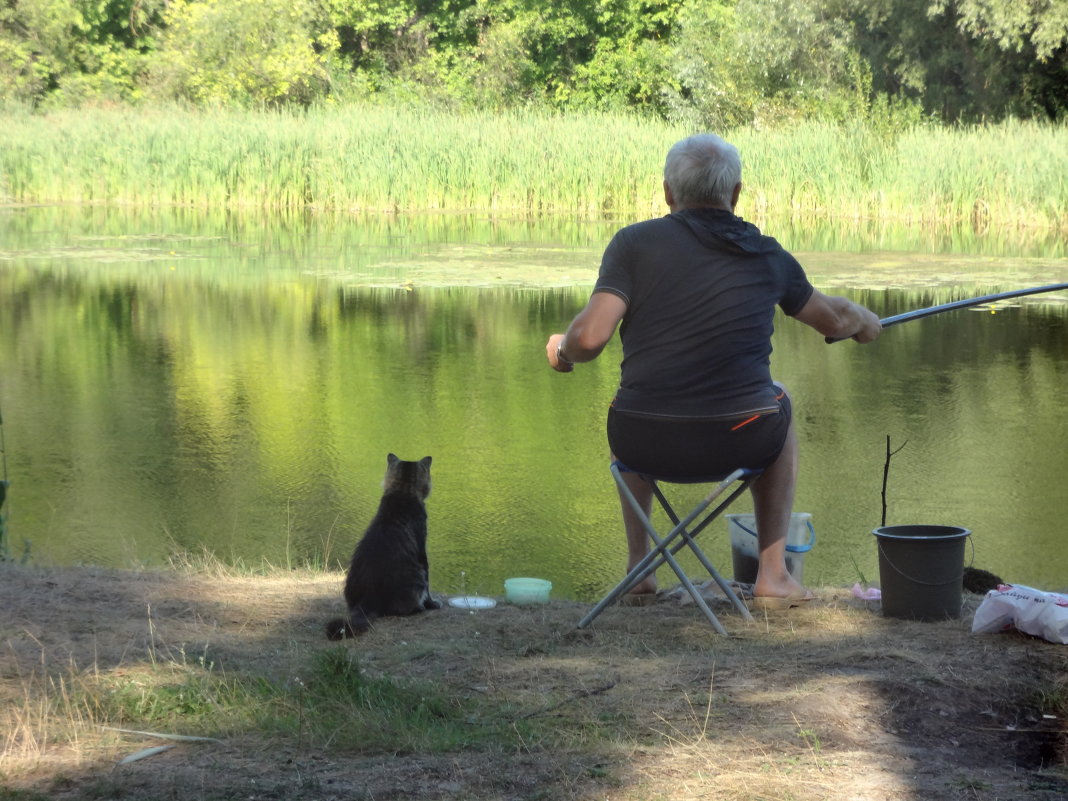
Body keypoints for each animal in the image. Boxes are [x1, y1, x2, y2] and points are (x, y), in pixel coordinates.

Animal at [324, 454, 442, 645]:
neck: (402, 492)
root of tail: (369, 599)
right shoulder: (422, 550)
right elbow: (429, 589)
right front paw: (433, 604)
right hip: (416, 576)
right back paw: (419, 608)